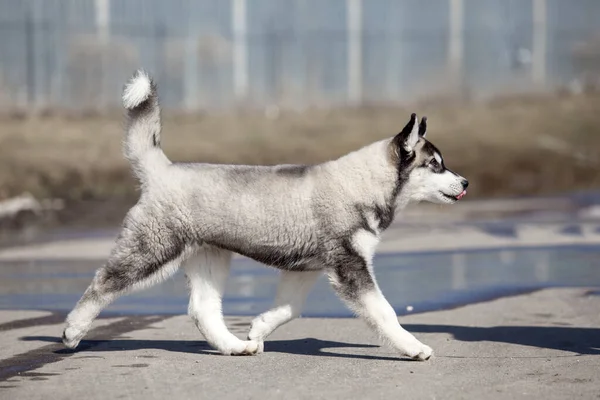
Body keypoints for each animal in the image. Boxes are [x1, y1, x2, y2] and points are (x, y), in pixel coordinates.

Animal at [62, 70, 468, 360]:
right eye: (435, 165)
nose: (465, 182)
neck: (362, 183)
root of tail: (163, 168)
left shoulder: (308, 267)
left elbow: (290, 308)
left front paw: (257, 329)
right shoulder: (350, 266)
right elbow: (384, 312)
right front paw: (413, 346)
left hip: (208, 256)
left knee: (202, 309)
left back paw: (233, 345)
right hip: (152, 249)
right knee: (103, 282)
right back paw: (73, 330)